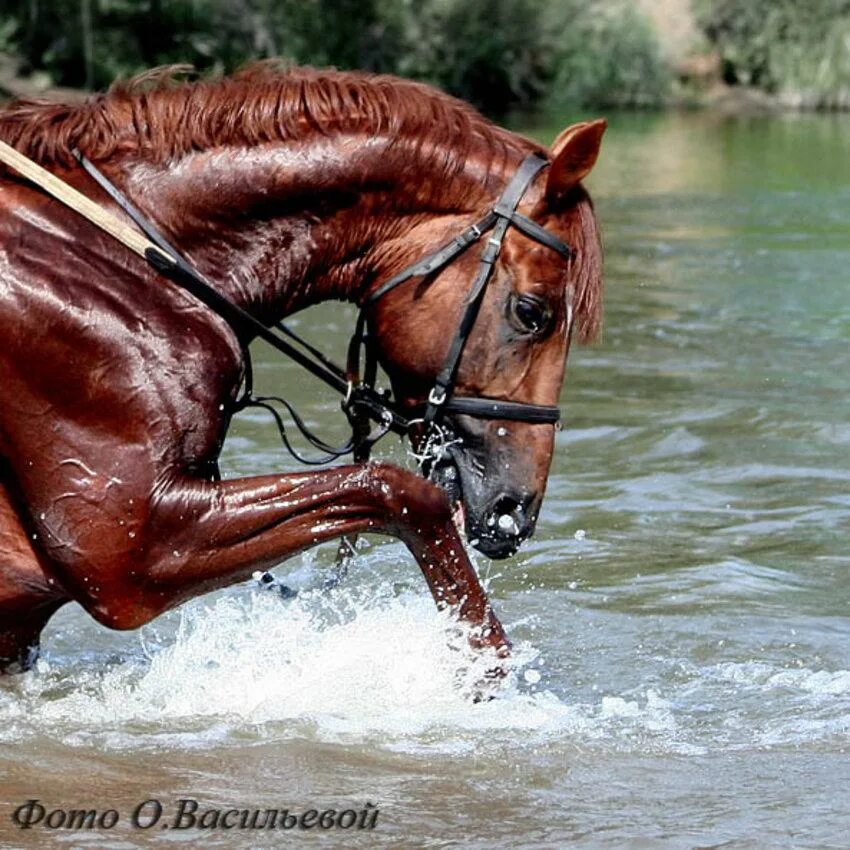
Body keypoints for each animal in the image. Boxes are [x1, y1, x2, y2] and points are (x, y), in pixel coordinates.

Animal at [0, 66, 604, 672]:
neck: (118, 259)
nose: (515, 511)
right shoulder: (131, 554)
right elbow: (401, 494)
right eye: (532, 313)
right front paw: (485, 668)